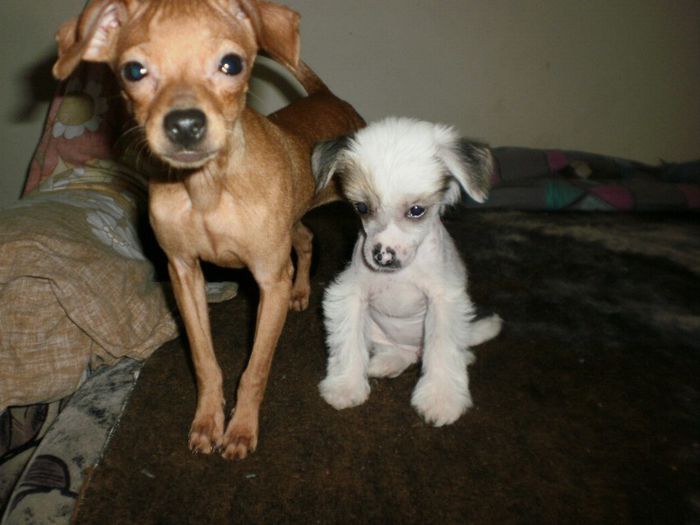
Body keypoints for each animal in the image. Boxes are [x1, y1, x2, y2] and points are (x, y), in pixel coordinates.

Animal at [52, 0, 364, 458]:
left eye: (231, 63)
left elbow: (254, 370)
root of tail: (326, 97)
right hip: (289, 226)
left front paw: (241, 428)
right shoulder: (184, 273)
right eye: (134, 71)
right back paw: (302, 290)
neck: (207, 190)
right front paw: (208, 421)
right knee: (306, 240)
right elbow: (204, 362)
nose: (185, 125)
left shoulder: (269, 281)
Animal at [312, 116, 504, 424]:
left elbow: (442, 350)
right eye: (362, 207)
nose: (382, 256)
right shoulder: (349, 295)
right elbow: (347, 344)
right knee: (397, 352)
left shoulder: (443, 301)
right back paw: (385, 363)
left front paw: (441, 398)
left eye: (416, 210)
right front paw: (346, 386)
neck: (401, 275)